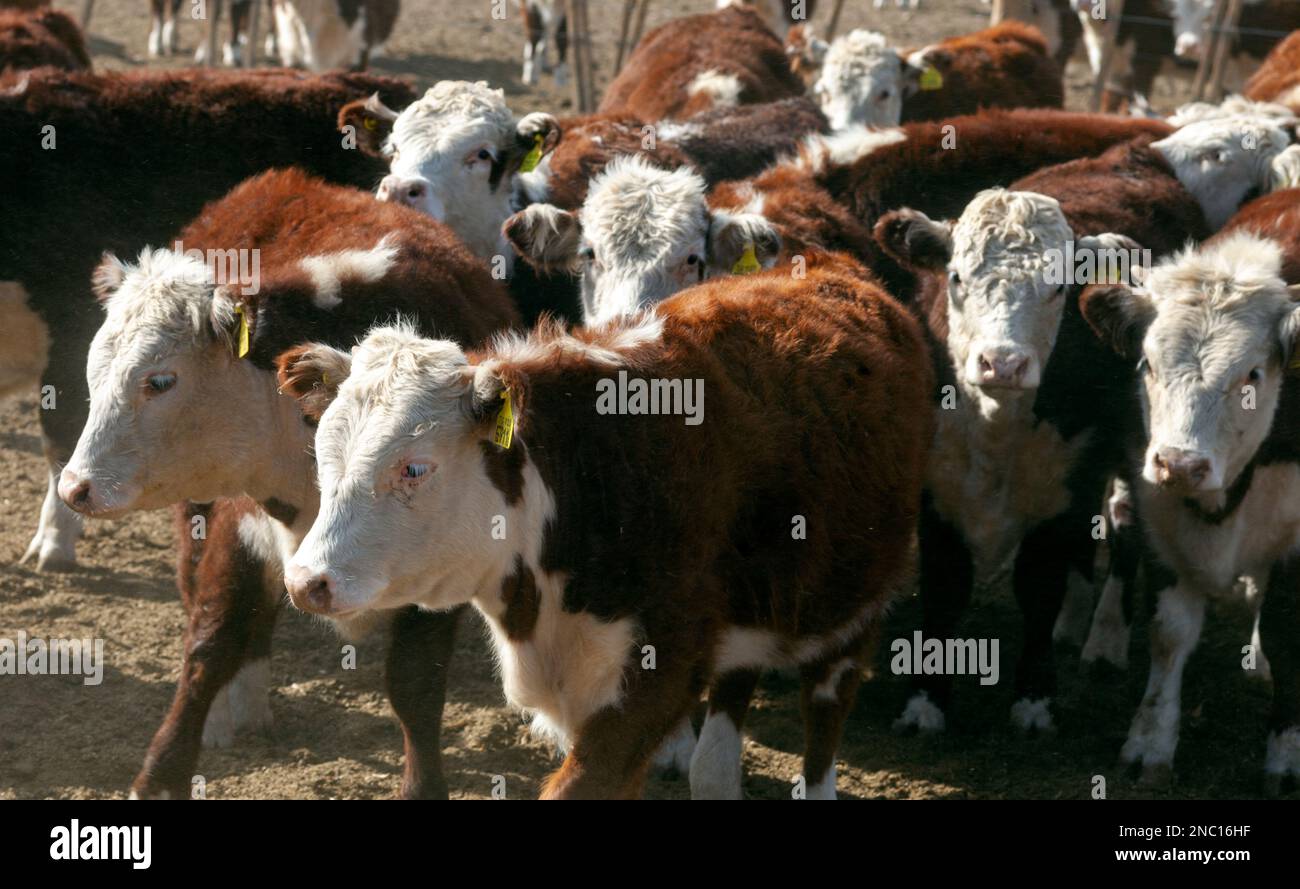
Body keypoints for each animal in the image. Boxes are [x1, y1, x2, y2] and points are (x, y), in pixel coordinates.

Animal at [55, 168, 520, 800]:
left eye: (160, 380)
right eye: (94, 368)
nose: (75, 487)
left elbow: (415, 686)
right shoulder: (238, 523)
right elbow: (208, 647)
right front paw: (162, 773)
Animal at [277, 262, 933, 800]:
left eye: (414, 467)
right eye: (322, 453)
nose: (307, 581)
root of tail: (838, 271)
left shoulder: (655, 679)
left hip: (852, 610)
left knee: (824, 716)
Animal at [1078, 213, 1300, 793]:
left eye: (1253, 374)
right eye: (1147, 365)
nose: (1179, 464)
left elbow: (1288, 634)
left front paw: (1286, 756)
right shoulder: (1160, 520)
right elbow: (1169, 634)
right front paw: (1149, 742)